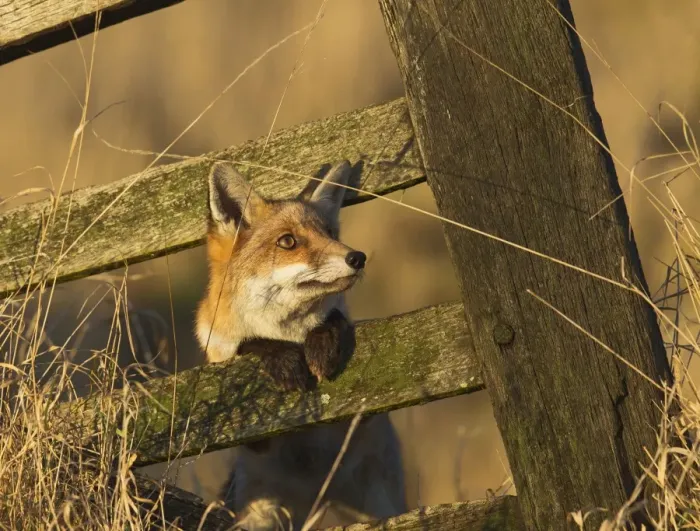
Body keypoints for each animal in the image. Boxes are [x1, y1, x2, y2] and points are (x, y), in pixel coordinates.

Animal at [195, 160, 407, 530]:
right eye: (288, 241)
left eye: (331, 233)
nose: (358, 257)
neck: (289, 333)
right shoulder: (247, 434)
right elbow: (252, 344)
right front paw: (281, 358)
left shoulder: (363, 417)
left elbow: (334, 319)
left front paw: (322, 343)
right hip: (262, 514)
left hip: (382, 504)